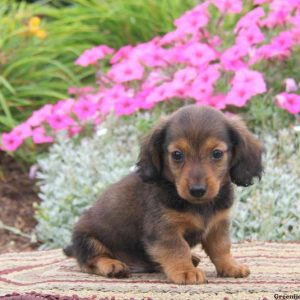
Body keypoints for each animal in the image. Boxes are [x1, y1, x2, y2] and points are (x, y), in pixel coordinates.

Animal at [63, 105, 262, 284]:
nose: (197, 190)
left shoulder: (217, 225)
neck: (200, 205)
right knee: (90, 261)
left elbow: (221, 248)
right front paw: (186, 271)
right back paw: (112, 265)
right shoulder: (164, 229)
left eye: (217, 153)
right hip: (87, 239)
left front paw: (230, 266)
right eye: (177, 155)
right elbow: (178, 249)